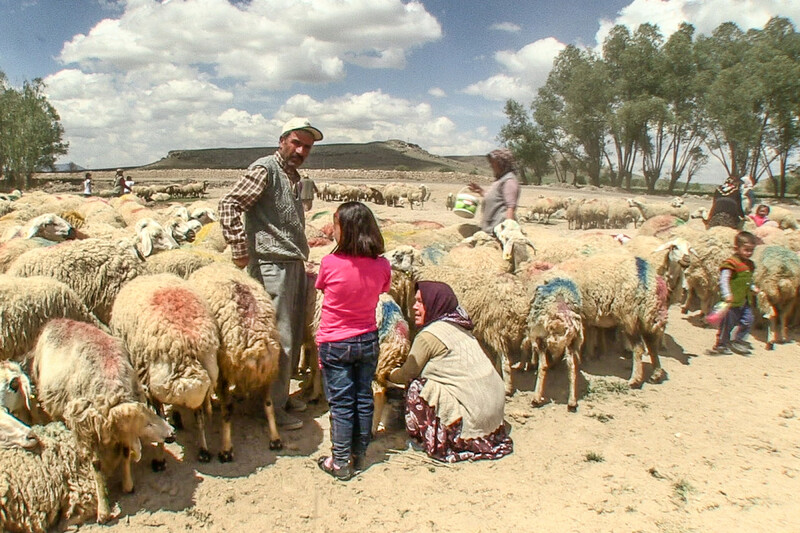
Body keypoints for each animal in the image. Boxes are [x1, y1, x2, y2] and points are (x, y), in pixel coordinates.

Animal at [32, 318, 175, 520]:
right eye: (146, 424)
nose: (172, 434)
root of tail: (56, 320)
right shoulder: (87, 429)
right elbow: (96, 465)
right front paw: (103, 510)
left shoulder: (121, 433)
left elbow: (125, 453)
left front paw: (128, 485)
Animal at [188, 262, 284, 462]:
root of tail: (257, 343)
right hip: (268, 371)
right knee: (268, 403)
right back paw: (275, 439)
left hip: (225, 368)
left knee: (227, 410)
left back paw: (226, 449)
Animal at [528, 276, 584, 410]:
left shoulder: (535, 336)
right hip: (571, 343)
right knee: (571, 366)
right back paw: (572, 402)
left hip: (542, 339)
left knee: (543, 365)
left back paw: (536, 398)